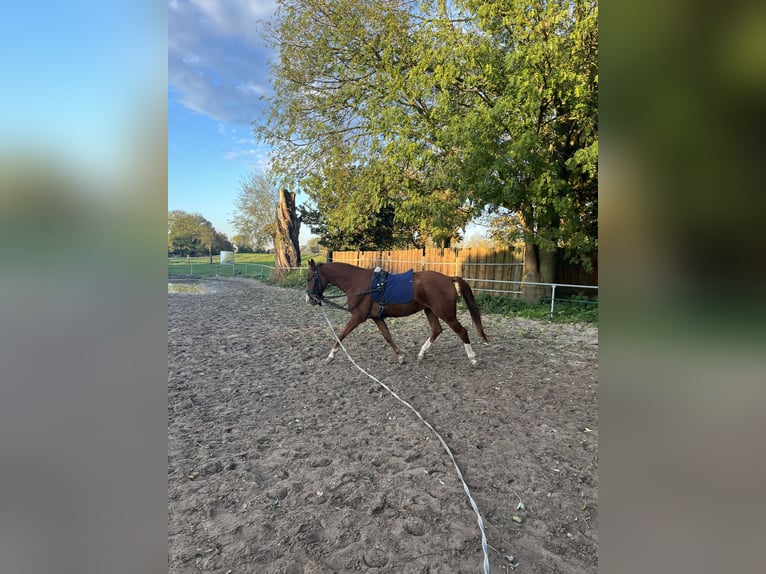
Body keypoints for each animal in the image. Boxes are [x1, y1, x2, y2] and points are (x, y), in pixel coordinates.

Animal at [304, 260, 488, 366]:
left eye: (308, 278)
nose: (309, 299)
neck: (358, 283)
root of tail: (448, 278)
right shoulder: (377, 317)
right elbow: (387, 336)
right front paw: (400, 356)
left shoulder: (358, 317)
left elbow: (341, 334)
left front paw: (330, 356)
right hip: (429, 311)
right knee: (437, 330)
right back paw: (421, 354)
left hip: (446, 314)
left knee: (462, 331)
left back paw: (473, 358)